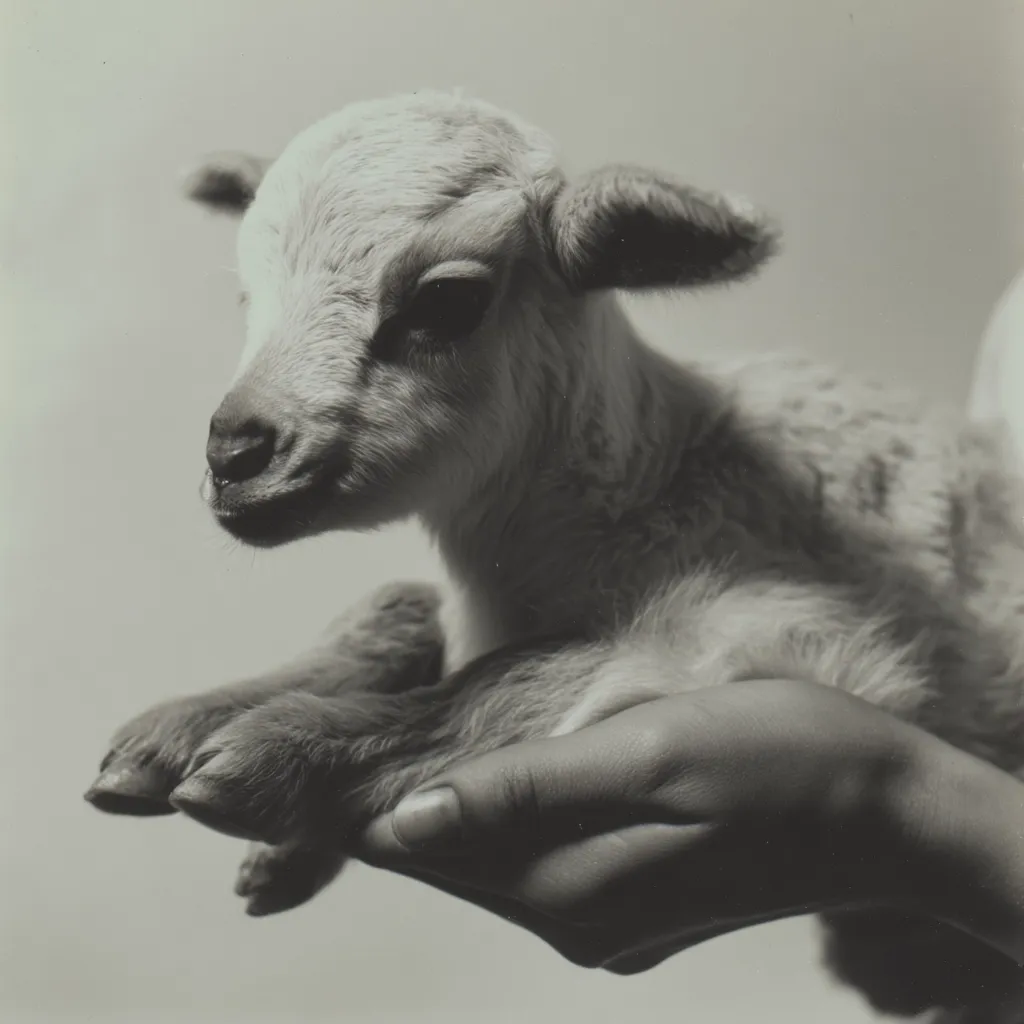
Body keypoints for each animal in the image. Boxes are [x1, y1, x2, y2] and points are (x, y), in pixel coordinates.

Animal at [84, 91, 1024, 1020]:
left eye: (445, 302)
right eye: (248, 299)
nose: (235, 453)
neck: (650, 481)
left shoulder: (808, 633)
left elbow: (523, 671)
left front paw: (283, 750)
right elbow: (401, 606)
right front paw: (194, 732)